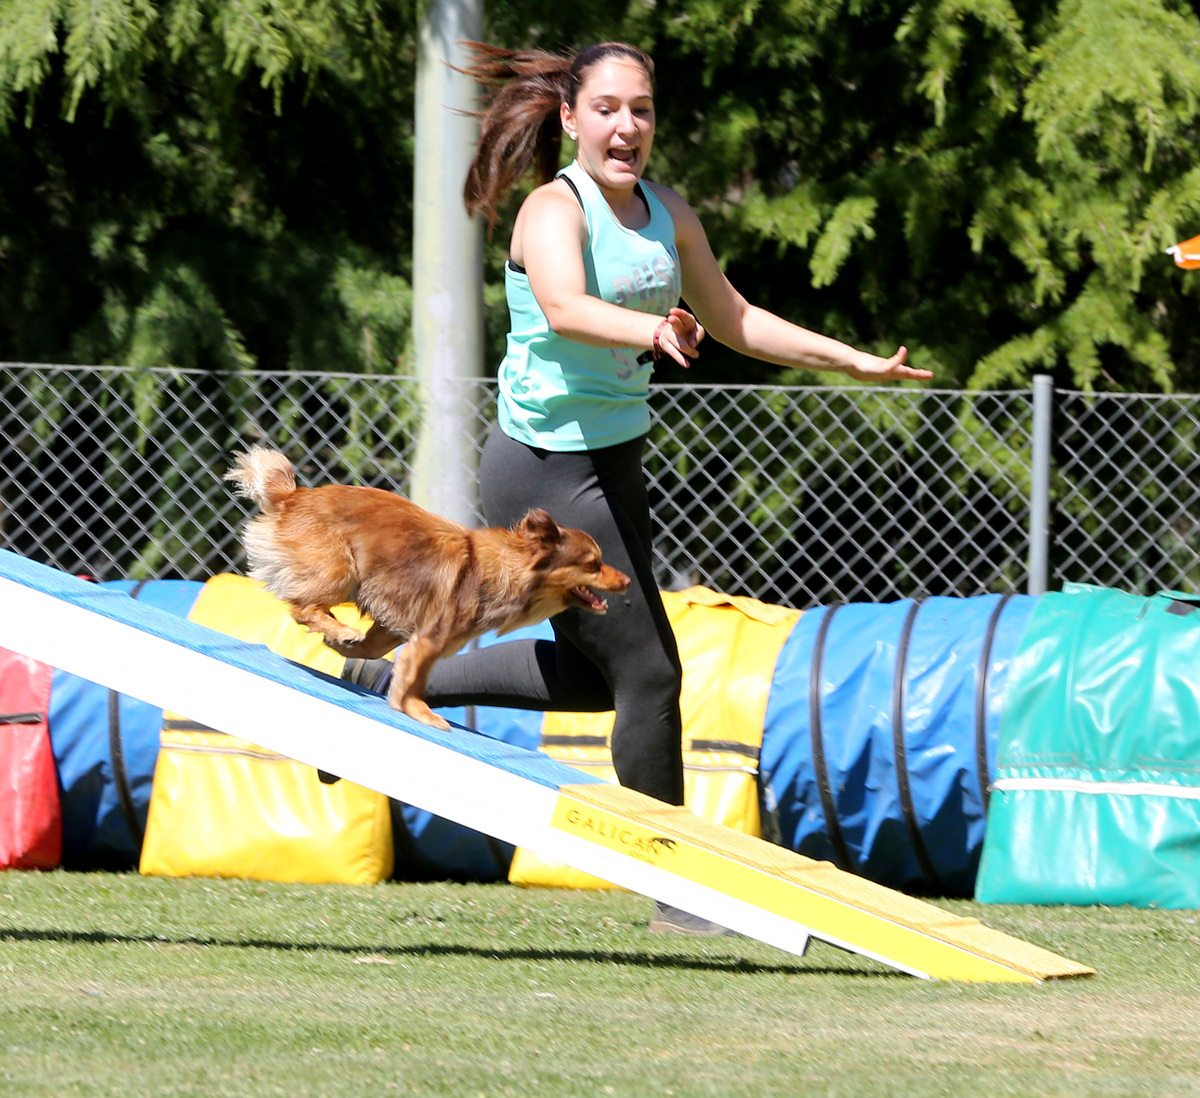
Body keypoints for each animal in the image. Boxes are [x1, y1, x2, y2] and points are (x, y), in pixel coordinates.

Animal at [226, 446, 638, 729]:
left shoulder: (402, 633)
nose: (628, 579)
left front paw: (356, 660)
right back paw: (340, 628)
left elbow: (389, 659)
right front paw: (419, 712)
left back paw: (338, 633)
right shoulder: (427, 641)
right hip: (339, 569)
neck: (507, 570)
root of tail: (293, 496)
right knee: (301, 607)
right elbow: (412, 677)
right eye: (593, 565)